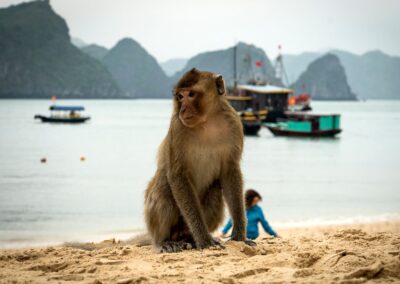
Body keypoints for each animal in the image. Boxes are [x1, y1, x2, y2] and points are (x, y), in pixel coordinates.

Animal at [145, 69, 255, 253]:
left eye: (191, 94)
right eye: (180, 96)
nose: (182, 109)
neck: (207, 121)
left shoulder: (235, 124)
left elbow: (230, 172)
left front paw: (240, 235)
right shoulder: (177, 127)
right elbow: (177, 175)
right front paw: (203, 239)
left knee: (215, 189)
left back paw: (189, 238)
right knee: (164, 184)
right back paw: (165, 241)